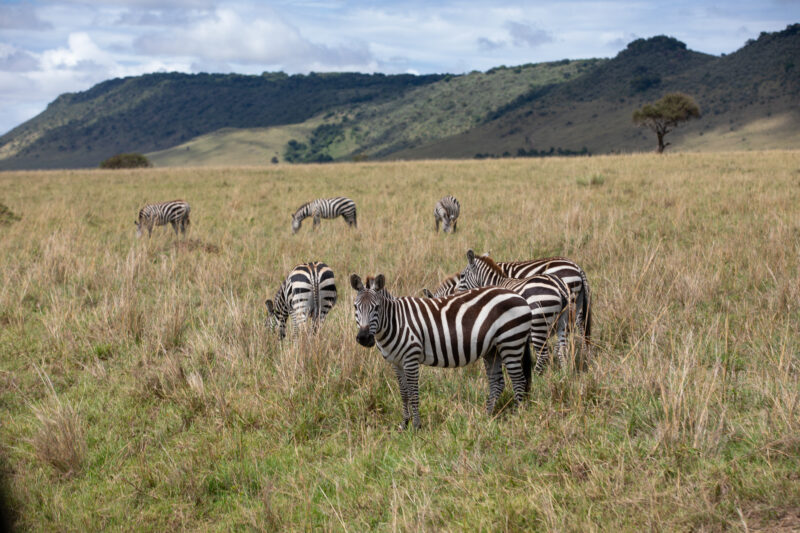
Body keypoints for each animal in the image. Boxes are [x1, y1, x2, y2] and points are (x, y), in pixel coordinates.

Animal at [351, 273, 533, 429]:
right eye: (355, 307)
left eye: (376, 308)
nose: (364, 338)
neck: (396, 321)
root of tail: (519, 296)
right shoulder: (396, 362)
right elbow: (404, 393)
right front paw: (404, 424)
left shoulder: (411, 358)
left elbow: (413, 392)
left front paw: (416, 426)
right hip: (492, 349)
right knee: (497, 383)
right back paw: (487, 417)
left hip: (511, 341)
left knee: (519, 381)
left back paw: (517, 417)